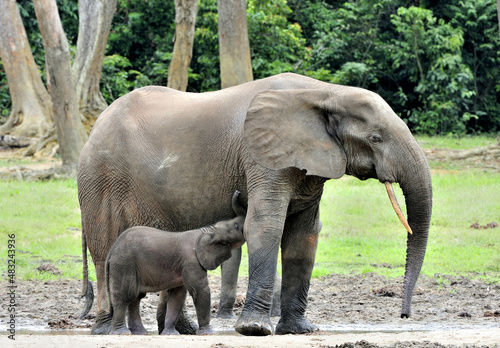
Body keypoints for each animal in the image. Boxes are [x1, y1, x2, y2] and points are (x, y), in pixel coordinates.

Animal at [106, 190, 246, 334]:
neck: (207, 230)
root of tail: (112, 250)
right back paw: (122, 332)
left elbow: (177, 296)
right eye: (236, 226)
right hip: (124, 264)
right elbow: (200, 290)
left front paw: (171, 334)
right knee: (125, 296)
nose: (238, 192)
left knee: (136, 297)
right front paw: (209, 333)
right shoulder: (191, 261)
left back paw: (139, 333)